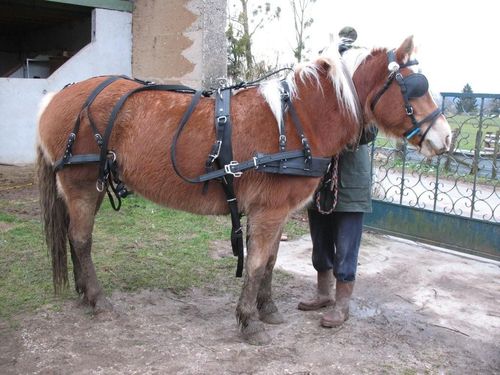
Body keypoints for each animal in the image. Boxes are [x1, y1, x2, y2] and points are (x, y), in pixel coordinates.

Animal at [37, 36, 452, 346]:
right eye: (415, 88)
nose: (446, 138)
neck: (298, 120)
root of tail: (56, 96)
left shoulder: (277, 212)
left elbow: (269, 262)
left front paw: (267, 310)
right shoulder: (268, 211)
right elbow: (255, 264)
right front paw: (249, 321)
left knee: (76, 238)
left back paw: (83, 292)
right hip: (80, 185)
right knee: (82, 240)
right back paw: (97, 299)